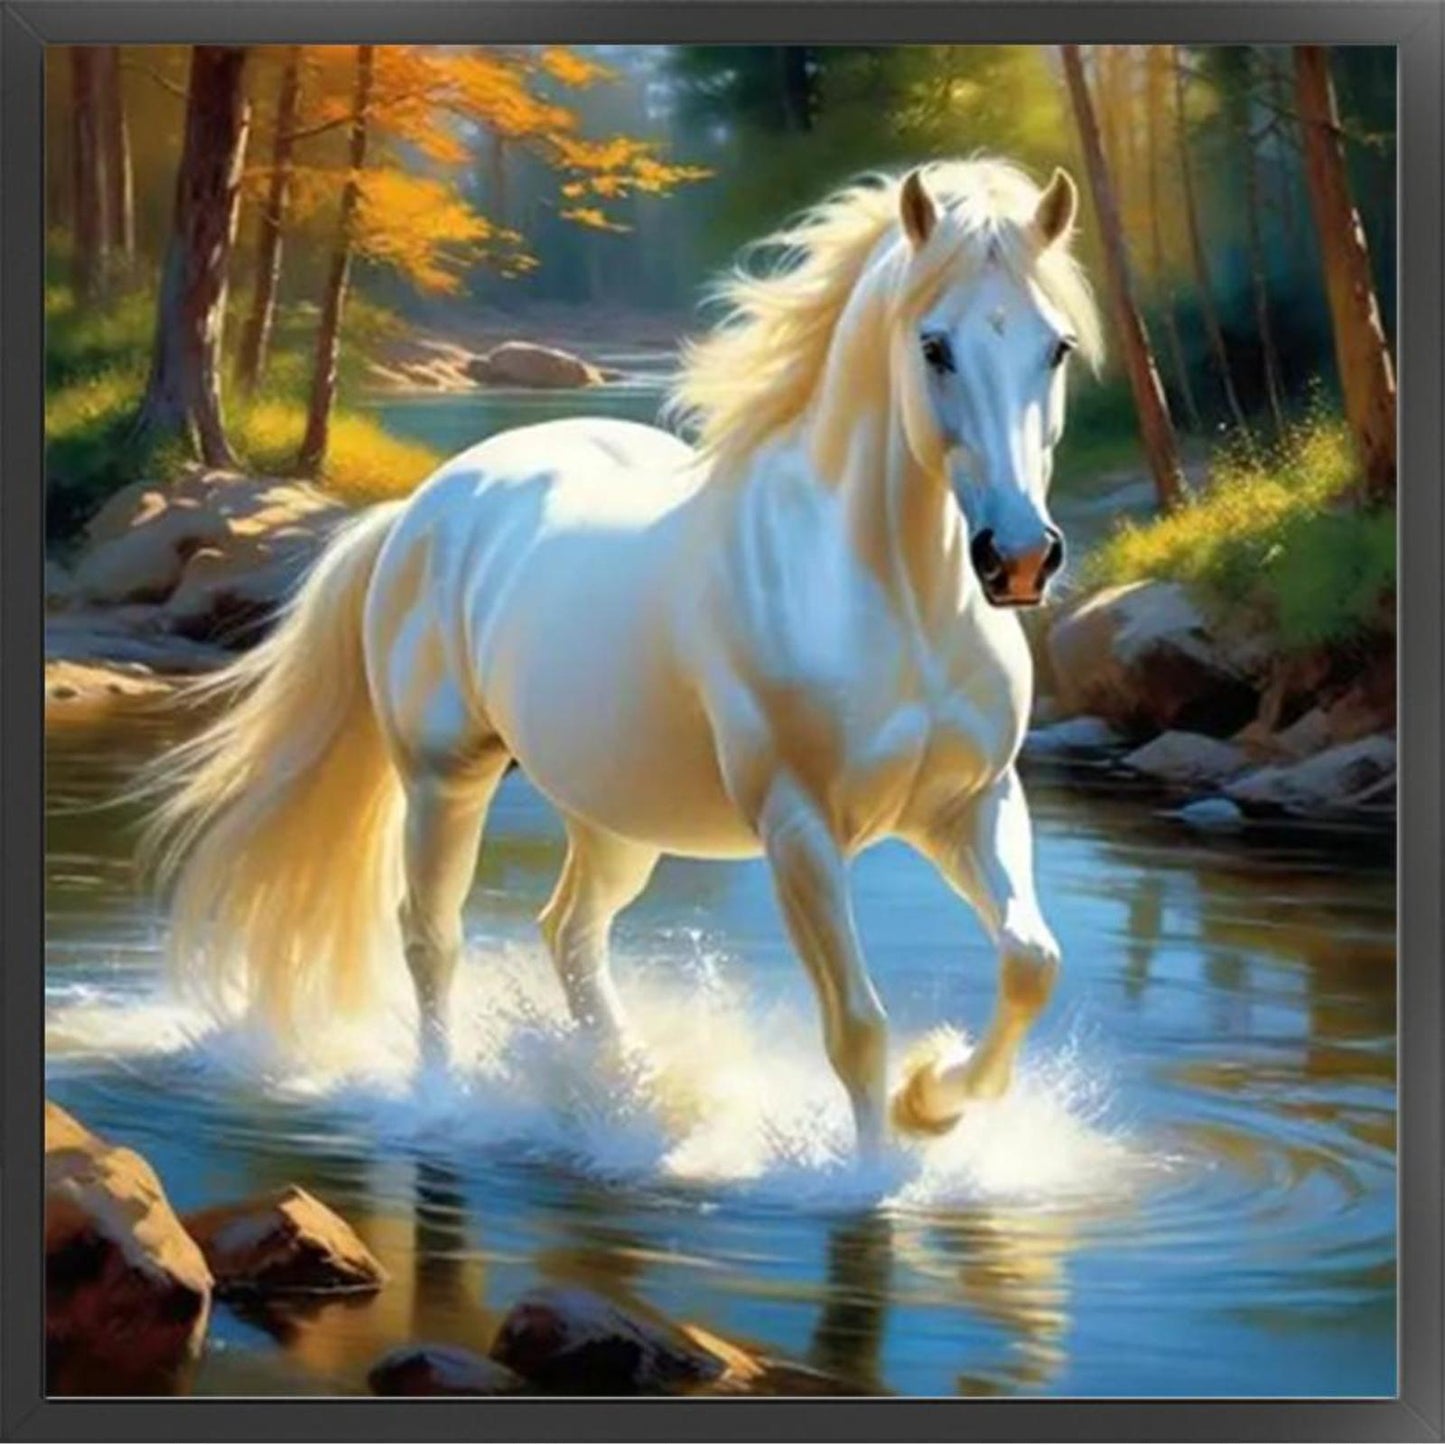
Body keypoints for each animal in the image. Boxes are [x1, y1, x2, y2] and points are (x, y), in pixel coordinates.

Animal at [146, 158, 1102, 1158]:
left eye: (1056, 347)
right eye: (934, 347)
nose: (1018, 558)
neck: (885, 597)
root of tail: (419, 508)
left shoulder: (971, 805)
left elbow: (1031, 962)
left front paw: (931, 1100)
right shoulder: (799, 829)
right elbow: (856, 1027)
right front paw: (879, 1173)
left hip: (614, 810)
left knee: (569, 932)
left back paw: (630, 1091)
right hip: (446, 779)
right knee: (430, 934)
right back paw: (445, 1100)